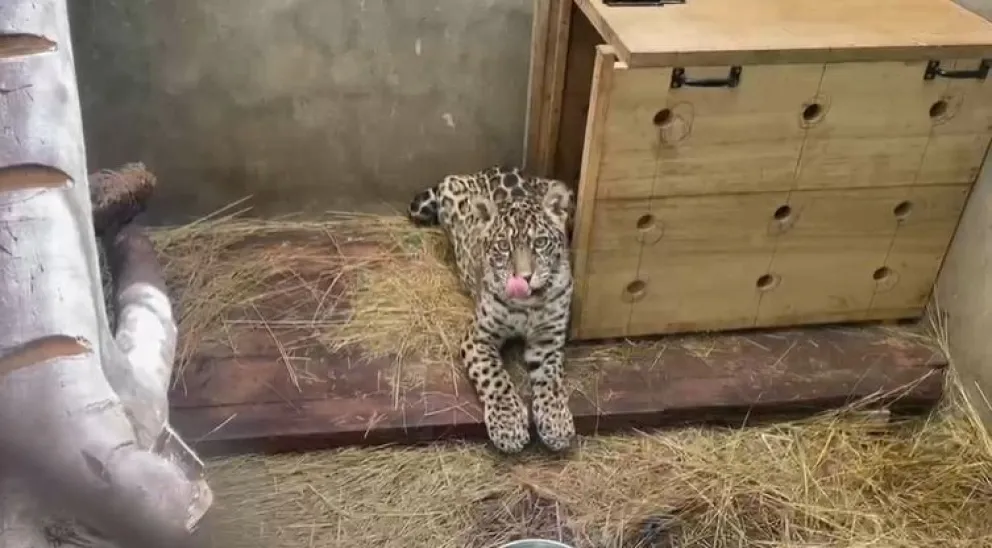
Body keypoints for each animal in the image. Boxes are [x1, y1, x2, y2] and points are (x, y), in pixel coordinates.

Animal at [408, 165, 576, 454]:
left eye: (540, 243)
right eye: (503, 246)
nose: (524, 277)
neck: (527, 306)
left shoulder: (548, 341)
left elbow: (551, 380)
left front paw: (556, 423)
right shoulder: (478, 337)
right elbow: (495, 377)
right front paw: (509, 426)